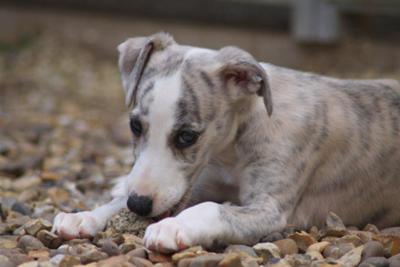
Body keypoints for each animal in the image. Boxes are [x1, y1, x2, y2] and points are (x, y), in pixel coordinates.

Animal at [52, 31, 400, 253]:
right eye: (135, 125)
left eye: (187, 136)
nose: (139, 204)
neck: (230, 151)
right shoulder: (199, 183)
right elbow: (117, 203)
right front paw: (83, 216)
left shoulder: (270, 209)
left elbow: (213, 209)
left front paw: (172, 227)